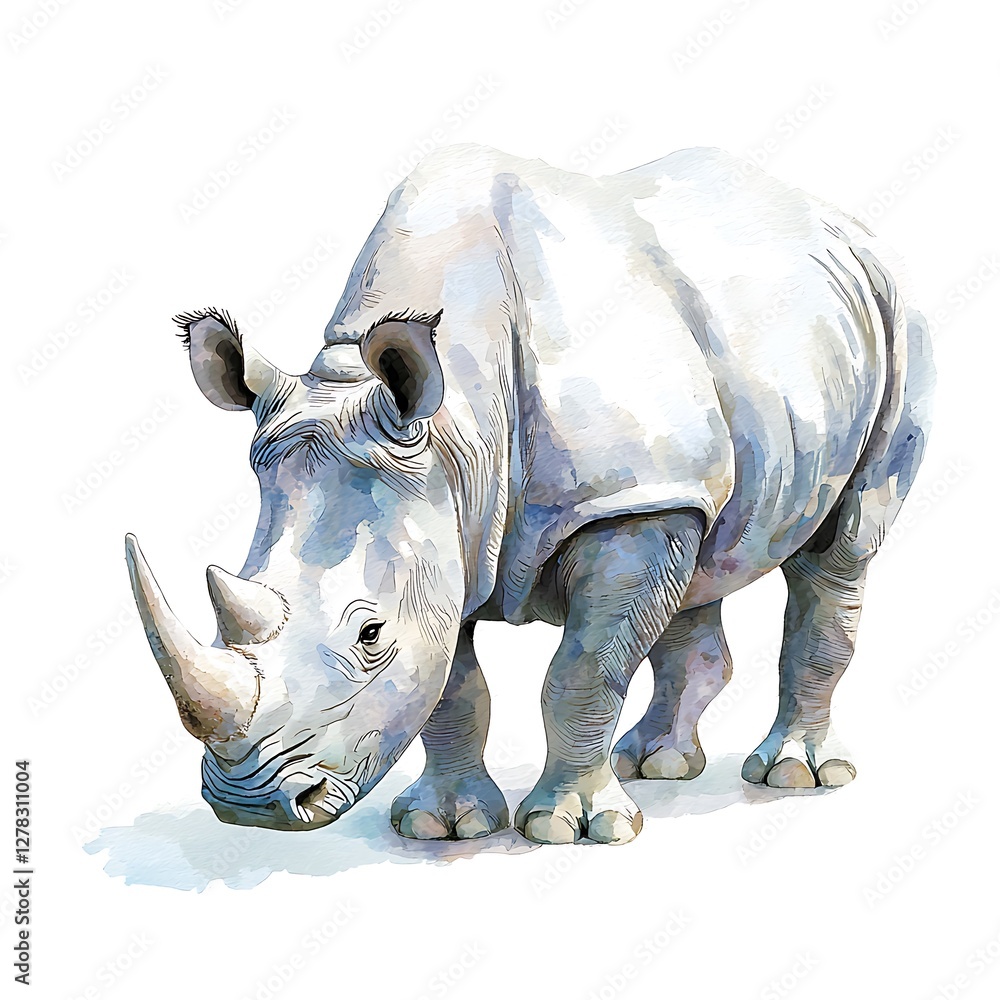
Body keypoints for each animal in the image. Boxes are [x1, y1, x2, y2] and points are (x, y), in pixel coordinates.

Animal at [125, 144, 933, 845]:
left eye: (370, 635)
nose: (249, 806)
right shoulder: (449, 525)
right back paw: (657, 765)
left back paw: (794, 775)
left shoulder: (620, 500)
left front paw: (571, 828)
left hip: (899, 319)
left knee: (841, 549)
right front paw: (442, 824)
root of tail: (837, 219)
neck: (454, 429)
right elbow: (454, 687)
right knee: (707, 550)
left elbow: (582, 671)